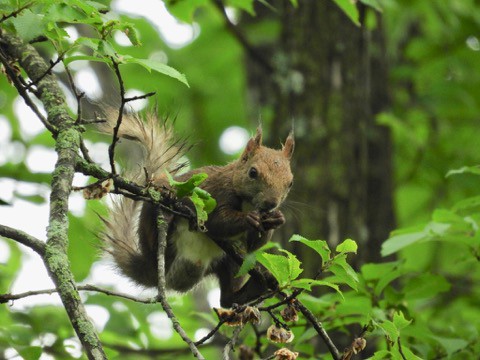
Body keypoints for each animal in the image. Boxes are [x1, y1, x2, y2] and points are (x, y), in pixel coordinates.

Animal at [99, 113, 294, 306]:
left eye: (290, 182)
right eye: (253, 172)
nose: (271, 203)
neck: (248, 203)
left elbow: (254, 246)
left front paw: (277, 219)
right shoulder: (217, 193)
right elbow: (217, 223)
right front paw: (249, 218)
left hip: (231, 261)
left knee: (227, 300)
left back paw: (257, 285)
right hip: (153, 226)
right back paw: (167, 211)